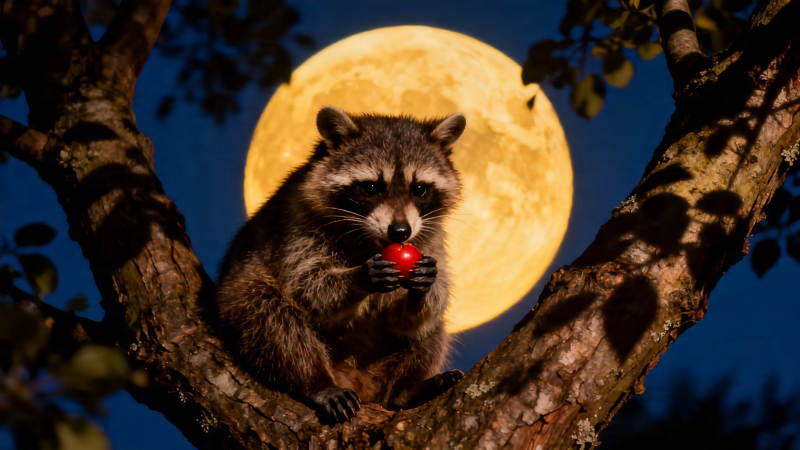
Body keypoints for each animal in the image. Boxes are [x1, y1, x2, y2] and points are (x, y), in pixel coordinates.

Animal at [215, 106, 466, 422]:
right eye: (370, 187)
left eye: (419, 189)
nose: (400, 232)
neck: (371, 240)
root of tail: (357, 380)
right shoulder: (297, 222)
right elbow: (306, 284)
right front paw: (359, 277)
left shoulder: (430, 237)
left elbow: (415, 316)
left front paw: (425, 285)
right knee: (266, 312)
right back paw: (315, 381)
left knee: (432, 329)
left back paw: (406, 389)